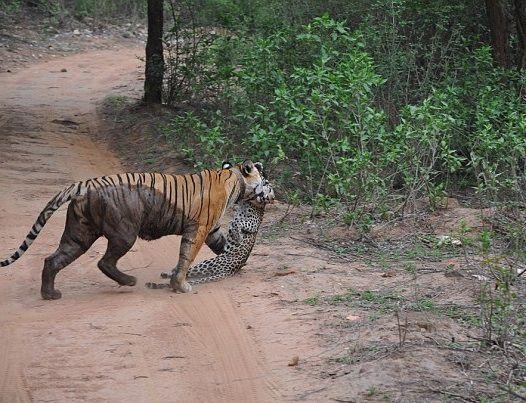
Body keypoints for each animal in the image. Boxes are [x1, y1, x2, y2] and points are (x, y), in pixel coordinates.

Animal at [1, 161, 268, 300]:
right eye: (264, 178)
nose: (270, 190)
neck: (234, 179)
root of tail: (85, 184)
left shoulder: (212, 229)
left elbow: (221, 245)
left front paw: (236, 259)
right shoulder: (199, 229)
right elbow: (186, 258)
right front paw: (180, 286)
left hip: (79, 234)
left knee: (52, 260)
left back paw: (50, 294)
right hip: (124, 233)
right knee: (104, 262)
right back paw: (129, 281)